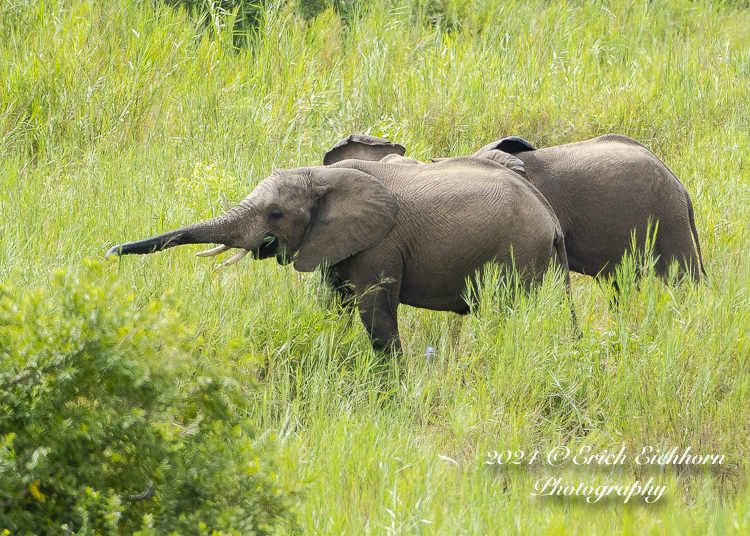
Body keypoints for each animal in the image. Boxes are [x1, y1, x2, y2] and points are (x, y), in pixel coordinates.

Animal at [106, 157, 572, 354]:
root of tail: (551, 218)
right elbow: (330, 304)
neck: (321, 174)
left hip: (518, 252)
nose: (110, 251)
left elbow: (375, 311)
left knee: (507, 311)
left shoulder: (381, 244)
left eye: (275, 214)